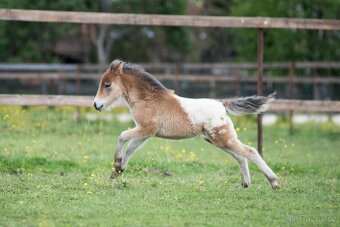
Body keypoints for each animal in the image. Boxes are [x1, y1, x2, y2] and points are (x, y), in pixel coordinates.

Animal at [93, 59, 278, 190]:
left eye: (107, 85)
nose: (96, 105)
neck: (148, 99)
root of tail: (223, 104)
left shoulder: (146, 128)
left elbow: (122, 136)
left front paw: (117, 163)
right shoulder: (146, 132)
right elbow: (131, 147)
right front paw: (117, 171)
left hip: (223, 138)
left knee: (251, 151)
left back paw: (274, 182)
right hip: (218, 140)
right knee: (241, 156)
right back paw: (245, 184)